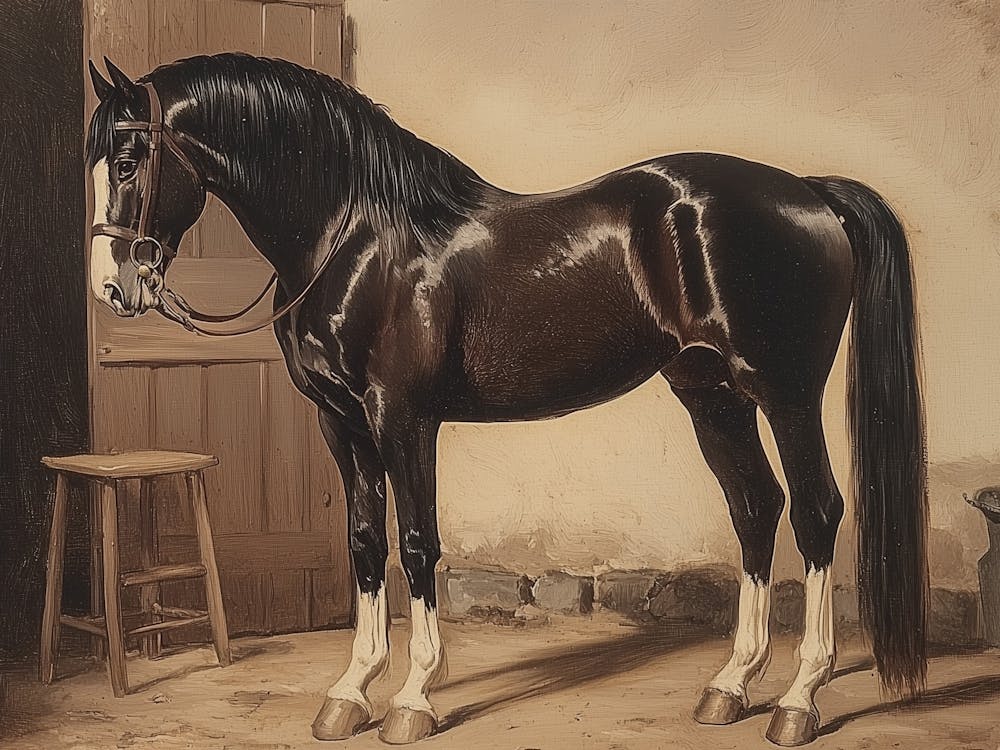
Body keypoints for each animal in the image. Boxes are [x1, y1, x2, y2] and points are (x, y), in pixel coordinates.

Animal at [85, 53, 928, 746]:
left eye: (128, 160)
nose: (114, 287)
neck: (359, 238)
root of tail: (808, 193)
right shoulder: (340, 423)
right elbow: (364, 544)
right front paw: (350, 692)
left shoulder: (402, 419)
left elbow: (416, 546)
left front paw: (412, 699)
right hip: (710, 394)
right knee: (755, 507)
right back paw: (730, 686)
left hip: (785, 394)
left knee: (816, 512)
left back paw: (800, 699)